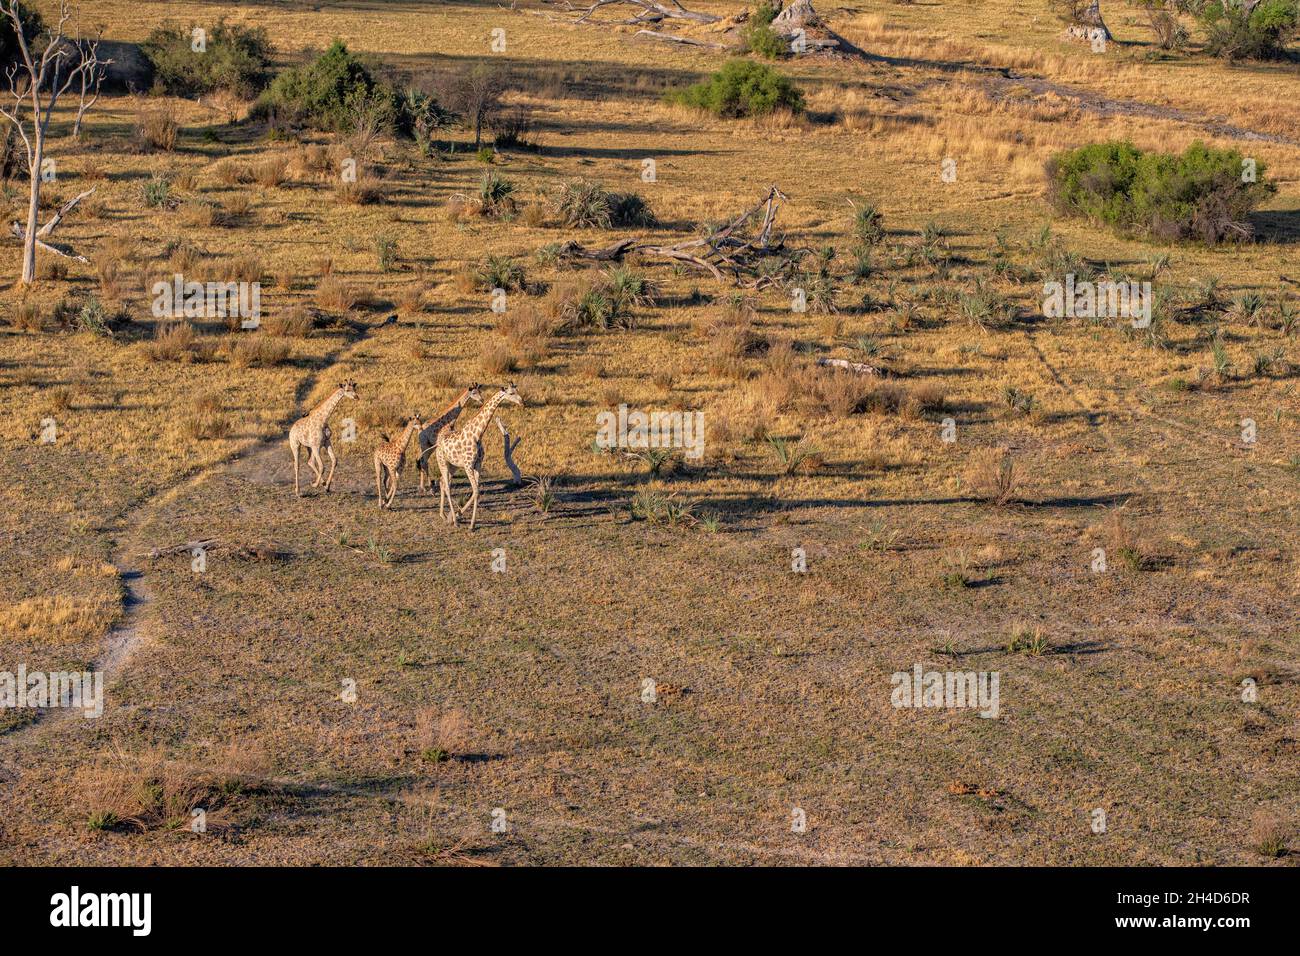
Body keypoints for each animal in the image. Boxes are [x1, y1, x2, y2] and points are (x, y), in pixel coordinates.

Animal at [434, 382, 520, 530]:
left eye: (517, 390)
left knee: (443, 483)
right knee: (447, 487)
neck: (477, 435)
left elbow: (476, 492)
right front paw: (469, 523)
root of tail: (438, 444)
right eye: (511, 393)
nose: (521, 401)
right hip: (442, 463)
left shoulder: (478, 464)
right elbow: (475, 490)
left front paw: (468, 520)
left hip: (453, 466)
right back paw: (454, 521)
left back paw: (445, 516)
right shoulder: (468, 465)